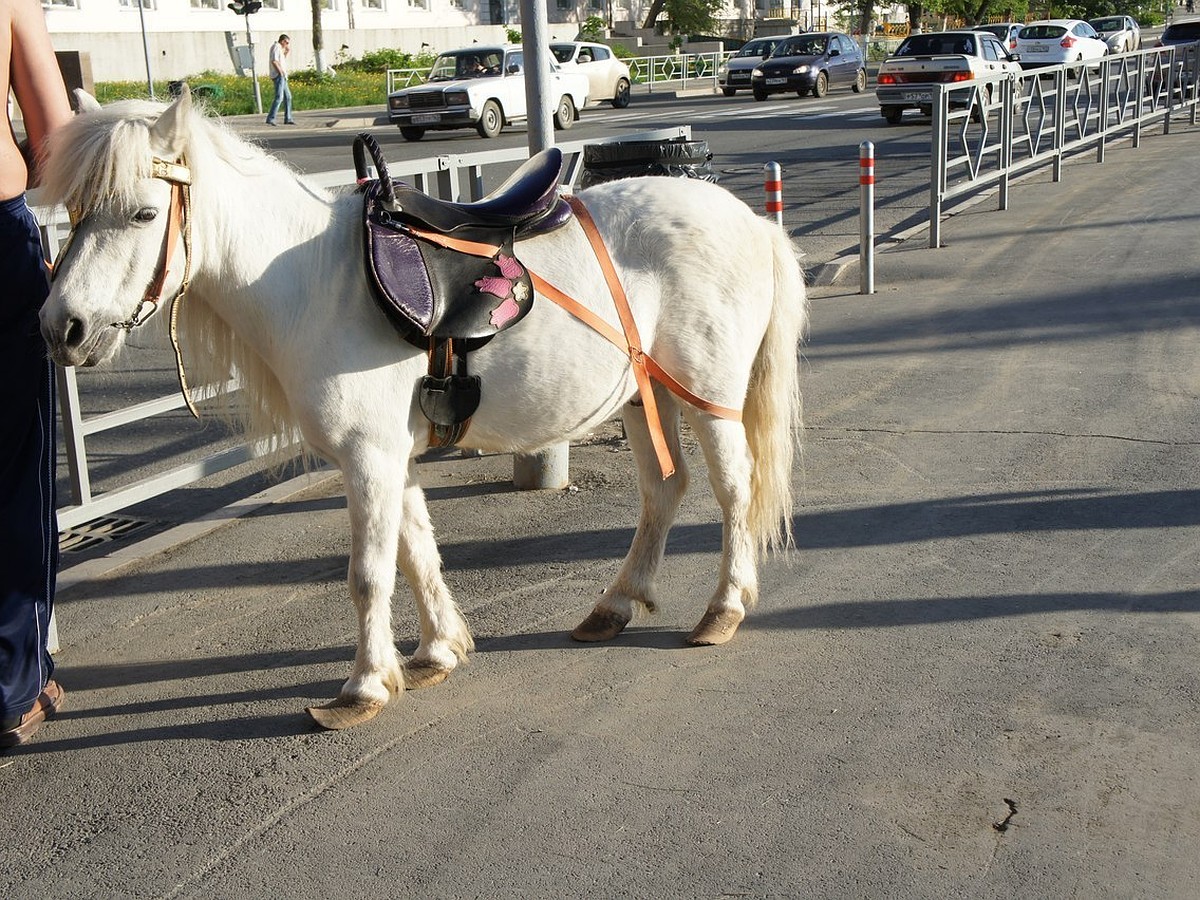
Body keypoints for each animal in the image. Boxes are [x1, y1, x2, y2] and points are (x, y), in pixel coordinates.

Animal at [39, 88, 806, 729]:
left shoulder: (368, 457)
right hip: (646, 396)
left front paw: (364, 687)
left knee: (734, 492)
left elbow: (369, 575)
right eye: (74, 212)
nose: (60, 328)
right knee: (664, 489)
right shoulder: (388, 457)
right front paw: (437, 652)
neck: (313, 282)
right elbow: (416, 554)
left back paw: (723, 608)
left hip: (709, 396)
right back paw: (614, 605)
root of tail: (751, 222)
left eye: (143, 213)